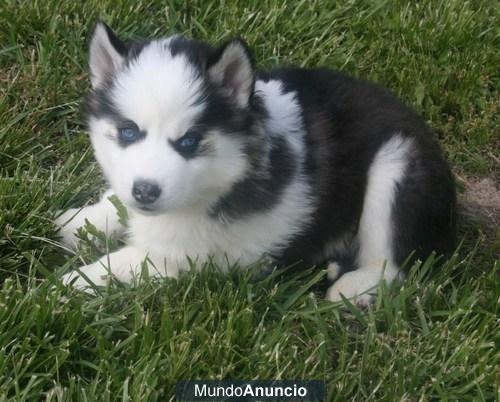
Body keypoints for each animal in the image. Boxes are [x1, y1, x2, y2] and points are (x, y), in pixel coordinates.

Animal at [56, 22, 456, 304]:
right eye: (128, 132)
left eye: (189, 142)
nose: (145, 191)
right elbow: (115, 202)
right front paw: (78, 222)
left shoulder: (191, 256)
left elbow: (128, 262)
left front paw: (73, 283)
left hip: (395, 165)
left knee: (393, 264)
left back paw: (354, 287)